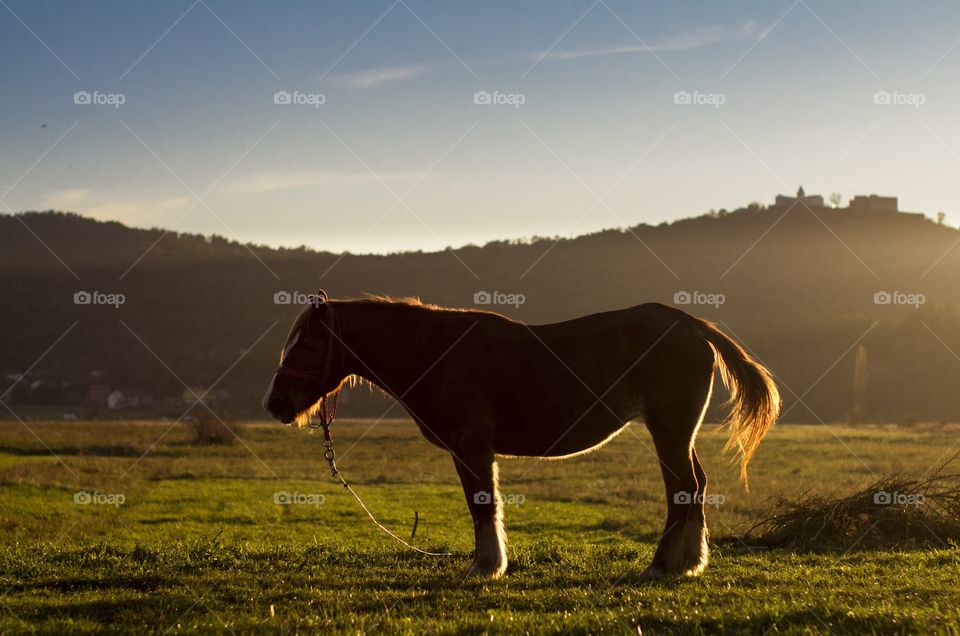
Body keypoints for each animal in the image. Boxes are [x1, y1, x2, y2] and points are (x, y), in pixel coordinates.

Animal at [262, 290, 780, 580]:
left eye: (307, 344)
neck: (435, 351)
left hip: (668, 429)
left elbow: (481, 504)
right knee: (696, 487)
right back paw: (687, 562)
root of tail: (689, 324)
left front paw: (486, 566)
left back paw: (660, 565)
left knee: (683, 489)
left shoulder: (471, 444)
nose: (274, 403)